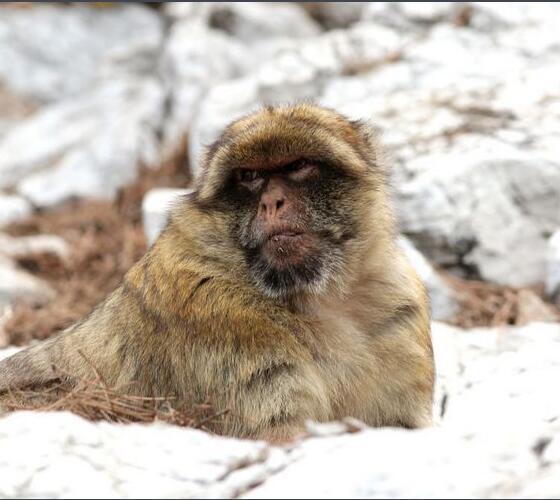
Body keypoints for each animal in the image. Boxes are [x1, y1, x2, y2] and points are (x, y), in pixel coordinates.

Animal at [0, 103, 434, 440]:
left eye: (298, 166)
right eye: (250, 176)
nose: (272, 202)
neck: (314, 295)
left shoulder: (398, 306)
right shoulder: (220, 316)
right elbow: (280, 432)